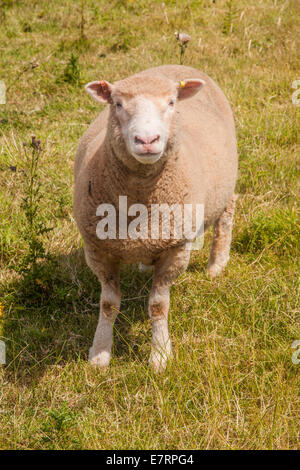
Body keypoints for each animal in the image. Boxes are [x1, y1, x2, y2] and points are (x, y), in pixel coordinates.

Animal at [74, 64, 238, 372]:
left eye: (171, 103)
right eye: (117, 104)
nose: (147, 141)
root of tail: (180, 66)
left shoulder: (175, 249)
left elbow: (158, 306)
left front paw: (160, 356)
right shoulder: (97, 248)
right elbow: (108, 305)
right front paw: (100, 354)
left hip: (227, 182)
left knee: (227, 212)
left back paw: (217, 264)